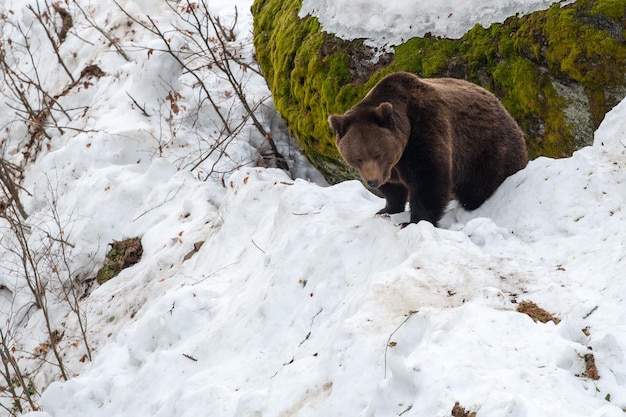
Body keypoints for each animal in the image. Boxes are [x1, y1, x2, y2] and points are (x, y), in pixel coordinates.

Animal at [326, 73, 528, 226]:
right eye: (357, 158)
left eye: (378, 153)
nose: (373, 181)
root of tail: (503, 108)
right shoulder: (392, 166)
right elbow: (393, 188)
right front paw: (386, 209)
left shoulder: (425, 129)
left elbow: (429, 178)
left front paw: (413, 221)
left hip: (486, 150)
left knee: (481, 186)